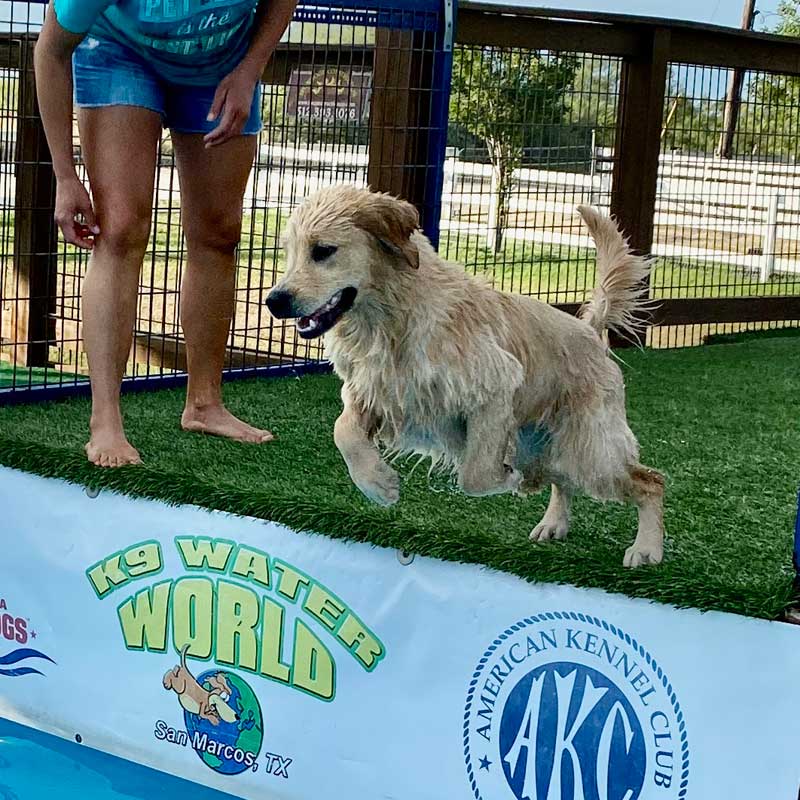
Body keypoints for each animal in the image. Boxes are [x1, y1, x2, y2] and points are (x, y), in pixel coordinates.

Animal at [266, 184, 664, 564]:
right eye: (289, 252)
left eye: (323, 250)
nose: (274, 301)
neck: (391, 319)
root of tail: (590, 330)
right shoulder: (370, 393)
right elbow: (343, 431)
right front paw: (377, 484)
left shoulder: (495, 385)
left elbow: (474, 476)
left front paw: (502, 478)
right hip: (545, 450)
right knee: (561, 481)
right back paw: (553, 524)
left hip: (591, 452)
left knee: (650, 481)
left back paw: (647, 549)